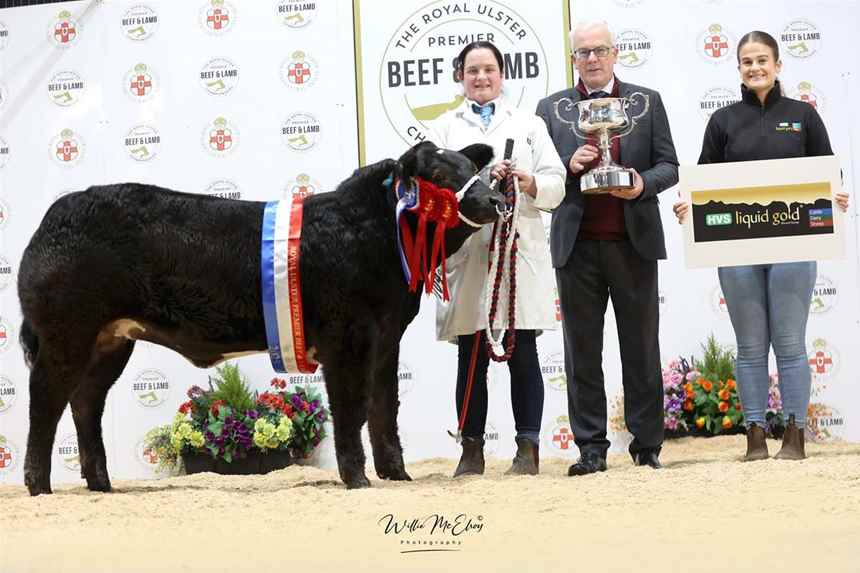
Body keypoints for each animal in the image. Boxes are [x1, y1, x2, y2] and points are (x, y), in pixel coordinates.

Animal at [17, 141, 501, 495]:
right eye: (441, 177)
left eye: (471, 169)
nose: (496, 198)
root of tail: (53, 218)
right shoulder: (347, 336)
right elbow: (352, 407)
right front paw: (358, 480)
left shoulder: (386, 337)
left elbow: (385, 407)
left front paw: (397, 475)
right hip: (67, 331)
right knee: (45, 399)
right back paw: (39, 486)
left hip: (111, 340)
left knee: (85, 402)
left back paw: (101, 484)